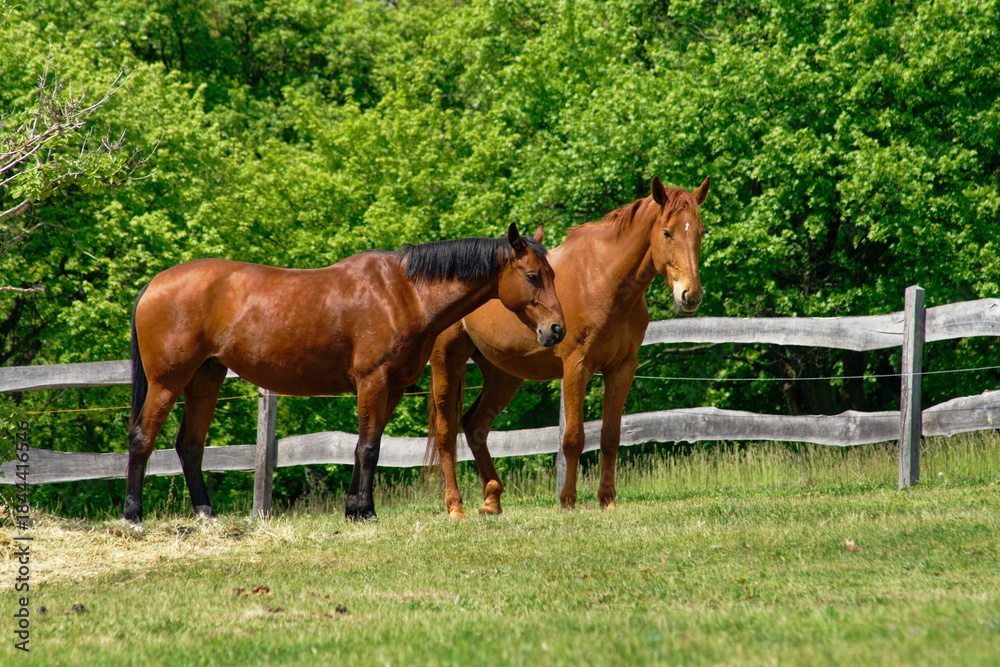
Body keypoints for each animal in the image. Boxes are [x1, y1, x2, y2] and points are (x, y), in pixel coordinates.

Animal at [126, 223, 565, 523]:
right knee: (142, 437)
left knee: (190, 445)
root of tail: (155, 284)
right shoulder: (372, 381)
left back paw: (205, 513)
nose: (556, 329)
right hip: (167, 382)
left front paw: (354, 507)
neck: (401, 292)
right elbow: (368, 448)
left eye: (554, 275)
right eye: (532, 276)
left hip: (206, 377)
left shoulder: (391, 387)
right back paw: (134, 516)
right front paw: (365, 511)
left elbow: (367, 446)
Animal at [427, 177, 709, 517]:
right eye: (667, 232)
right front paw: (568, 501)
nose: (690, 295)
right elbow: (573, 438)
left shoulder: (622, 369)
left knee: (475, 426)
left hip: (503, 374)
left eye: (700, 232)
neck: (603, 280)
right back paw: (455, 506)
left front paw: (607, 501)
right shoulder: (577, 366)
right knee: (446, 434)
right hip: (446, 362)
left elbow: (610, 436)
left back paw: (492, 500)